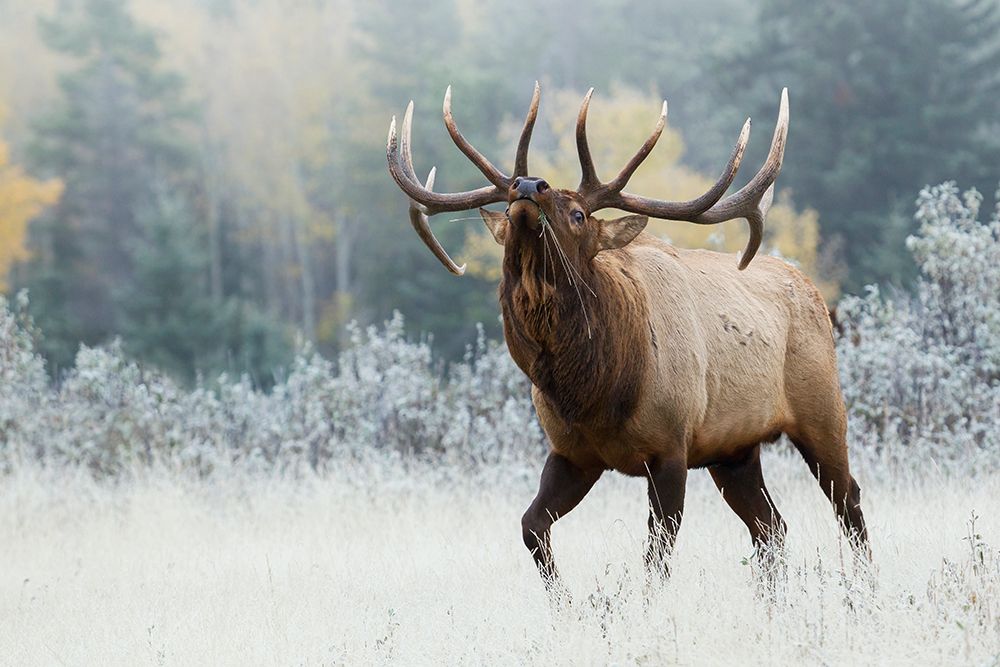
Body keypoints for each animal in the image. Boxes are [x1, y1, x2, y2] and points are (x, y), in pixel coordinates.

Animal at [386, 83, 870, 588]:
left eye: (579, 213)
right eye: (507, 202)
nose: (528, 185)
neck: (598, 393)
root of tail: (816, 295)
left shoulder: (671, 447)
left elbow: (656, 559)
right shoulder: (573, 453)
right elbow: (531, 526)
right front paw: (568, 598)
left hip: (822, 410)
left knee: (849, 501)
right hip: (734, 449)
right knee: (771, 525)